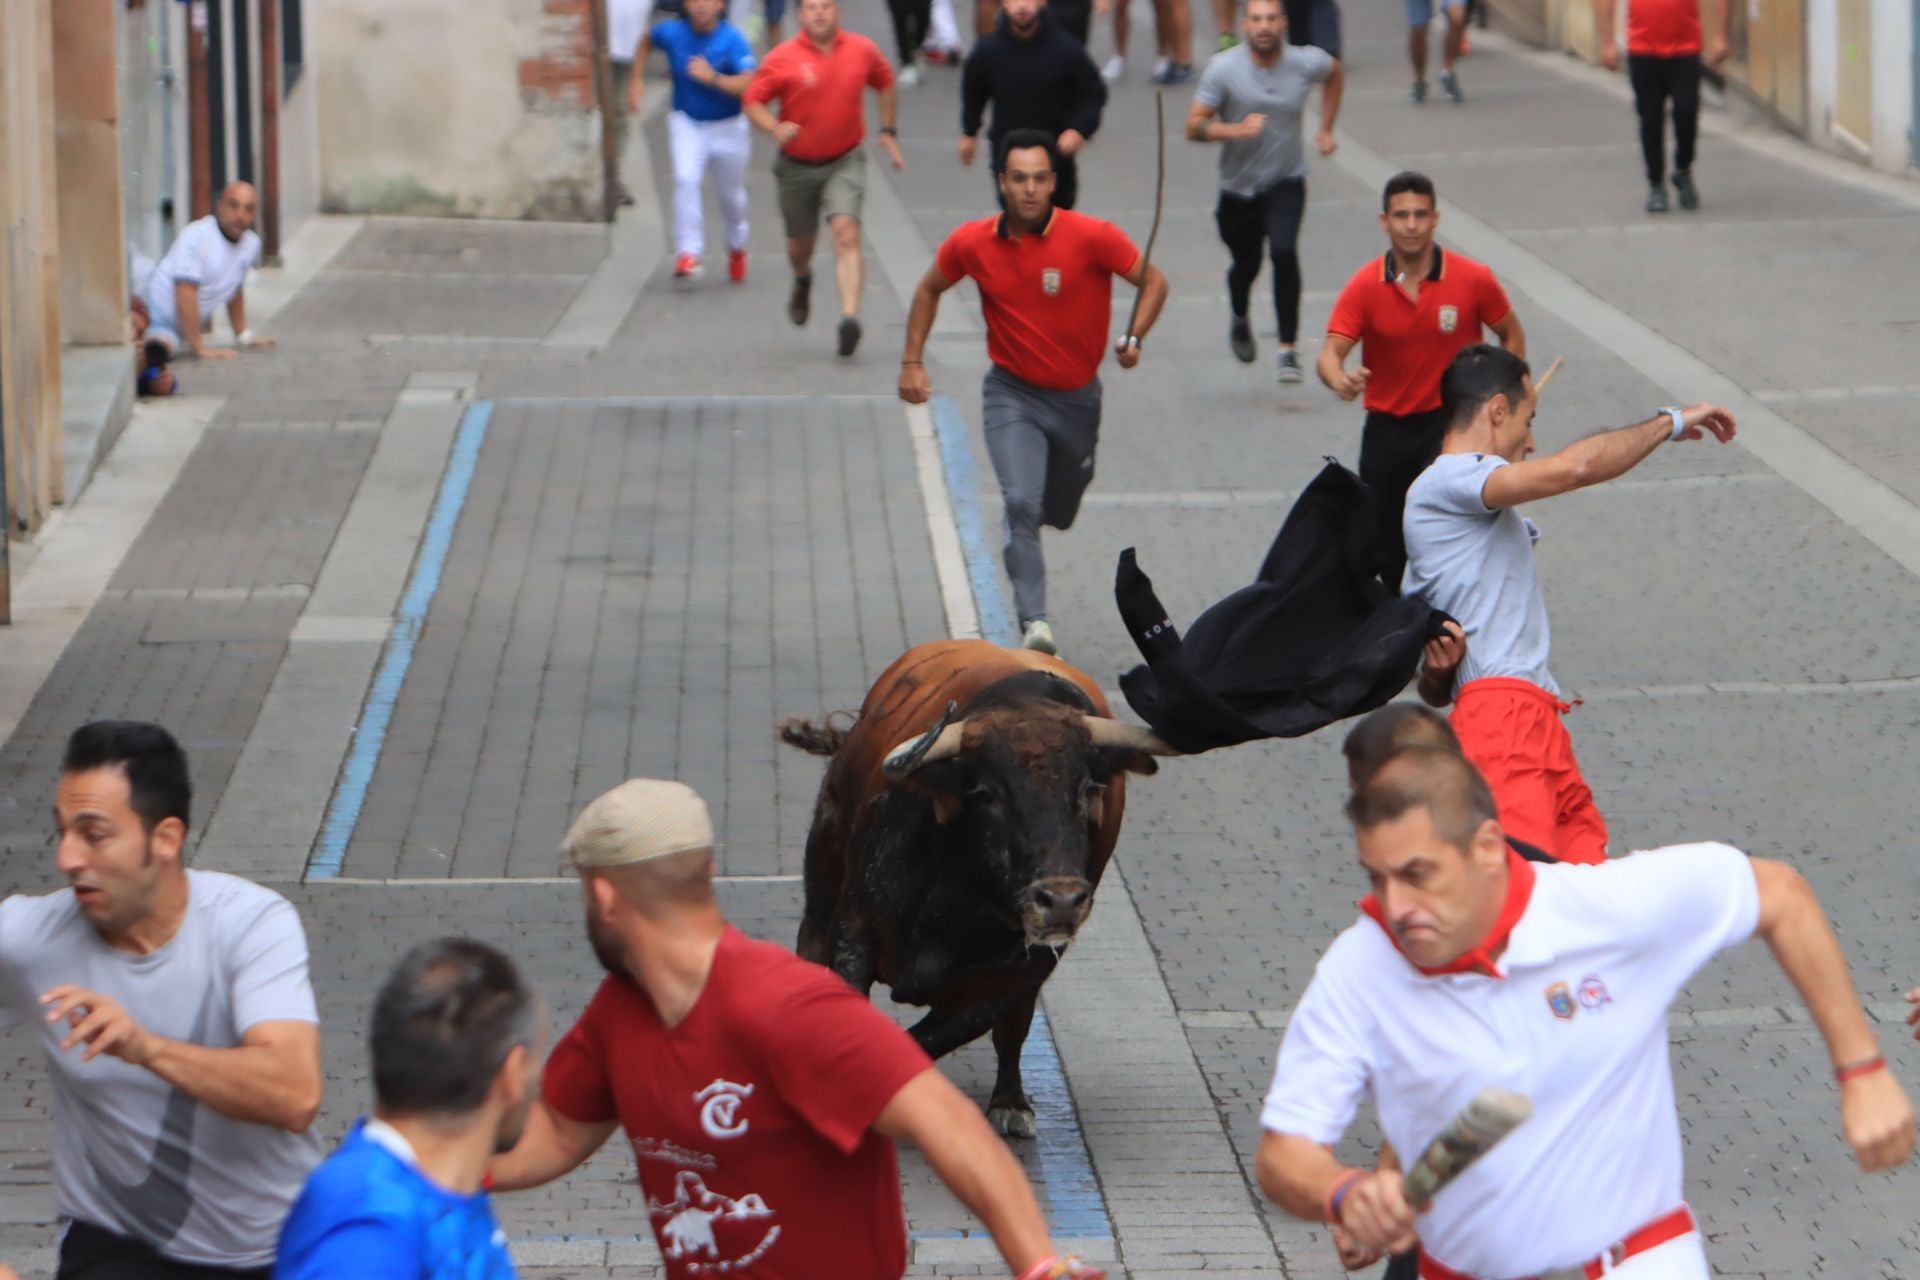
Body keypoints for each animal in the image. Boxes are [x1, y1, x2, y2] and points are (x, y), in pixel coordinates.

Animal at [775, 644, 1167, 1136]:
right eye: (988, 794)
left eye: (1087, 790)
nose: (1061, 901)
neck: (954, 898)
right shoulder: (854, 931)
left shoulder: (1016, 975)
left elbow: (938, 1038)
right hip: (823, 872)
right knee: (810, 942)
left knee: (1013, 1034)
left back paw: (1010, 1102)